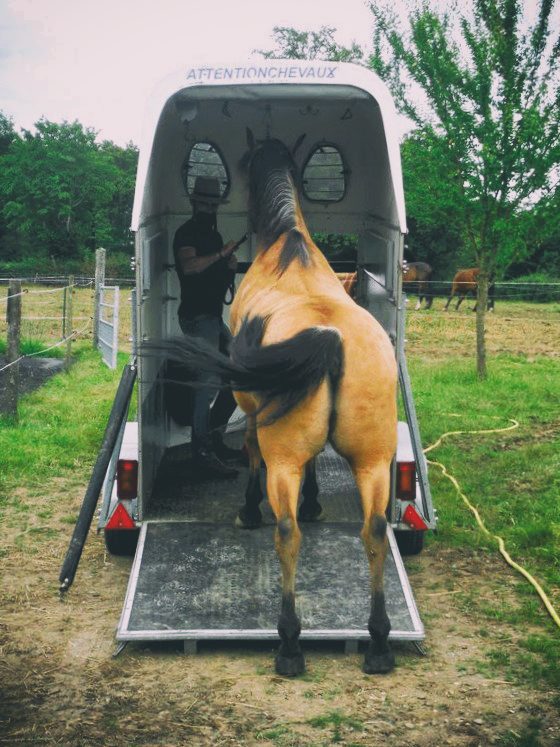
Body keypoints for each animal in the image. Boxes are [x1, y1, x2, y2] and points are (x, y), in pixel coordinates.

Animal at [154, 134, 398, 676]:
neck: (288, 247)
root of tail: (330, 336)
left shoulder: (251, 413)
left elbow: (250, 455)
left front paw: (249, 509)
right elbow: (315, 470)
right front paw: (315, 502)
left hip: (286, 458)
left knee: (287, 532)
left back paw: (289, 643)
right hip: (374, 460)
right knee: (374, 530)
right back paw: (377, 642)